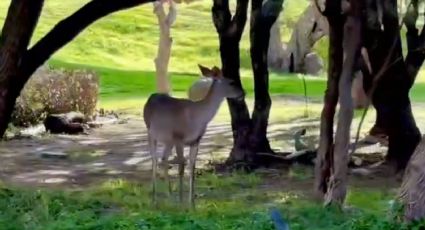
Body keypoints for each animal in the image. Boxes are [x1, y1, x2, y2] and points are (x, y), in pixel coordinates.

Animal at [142, 63, 242, 208]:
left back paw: (169, 194)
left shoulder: (196, 140)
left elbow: (192, 168)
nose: (243, 93)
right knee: (154, 160)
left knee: (163, 158)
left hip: (168, 140)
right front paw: (181, 202)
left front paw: (192, 204)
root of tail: (151, 97)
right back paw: (154, 197)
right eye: (232, 82)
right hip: (151, 131)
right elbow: (181, 168)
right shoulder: (179, 137)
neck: (197, 117)